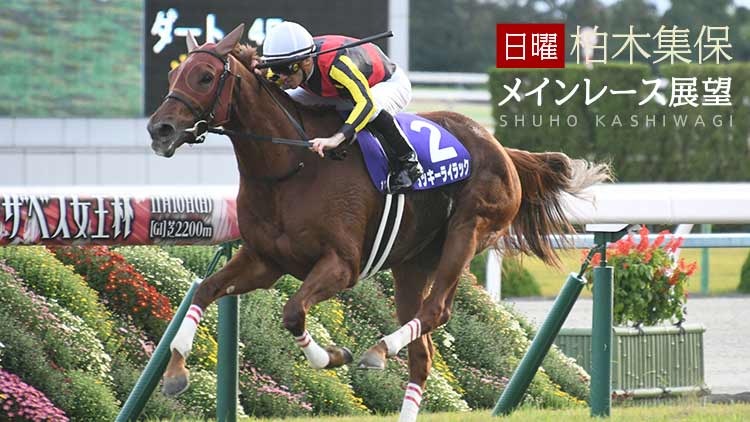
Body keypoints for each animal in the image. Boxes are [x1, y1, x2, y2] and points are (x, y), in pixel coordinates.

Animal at [147, 24, 609, 421]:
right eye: (175, 73)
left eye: (205, 76)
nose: (159, 129)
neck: (290, 166)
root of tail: (500, 148)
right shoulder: (265, 260)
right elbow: (204, 291)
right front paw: (176, 373)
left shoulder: (342, 264)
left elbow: (294, 312)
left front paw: (334, 356)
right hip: (412, 264)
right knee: (422, 355)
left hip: (468, 232)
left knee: (436, 310)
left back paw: (379, 349)